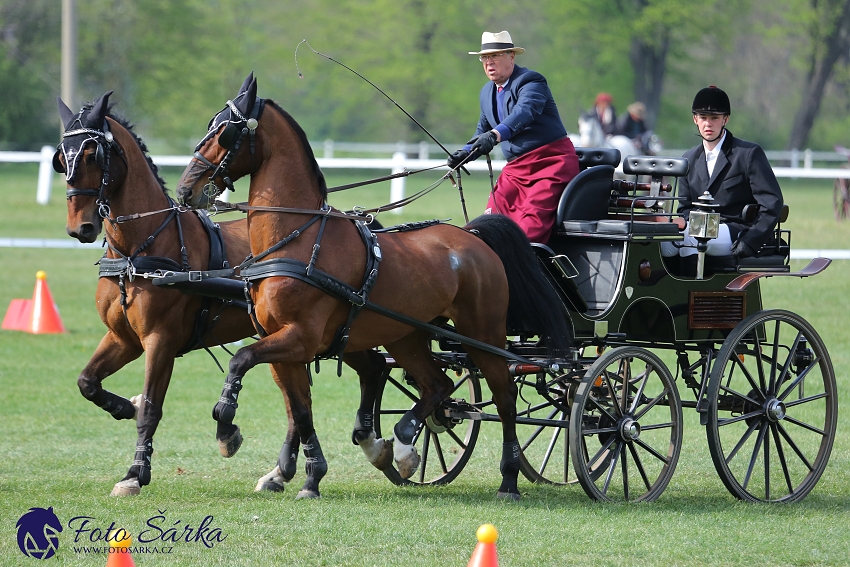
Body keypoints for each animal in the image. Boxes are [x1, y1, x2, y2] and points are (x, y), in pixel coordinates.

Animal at [54, 90, 382, 496]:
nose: (80, 227)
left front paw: (135, 473)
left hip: (333, 334)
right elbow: (88, 382)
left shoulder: (160, 340)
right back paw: (283, 472)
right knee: (305, 397)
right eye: (61, 157)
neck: (138, 249)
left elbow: (152, 409)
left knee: (368, 371)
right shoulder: (123, 337)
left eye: (91, 155)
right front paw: (124, 407)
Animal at [176, 75, 568, 502]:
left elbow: (240, 361)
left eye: (225, 131)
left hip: (482, 335)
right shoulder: (281, 341)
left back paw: (507, 478)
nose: (184, 190)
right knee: (438, 384)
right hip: (407, 336)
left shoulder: (299, 337)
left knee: (505, 396)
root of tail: (473, 237)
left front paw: (227, 427)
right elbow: (300, 410)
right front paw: (308, 475)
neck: (297, 238)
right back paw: (403, 440)